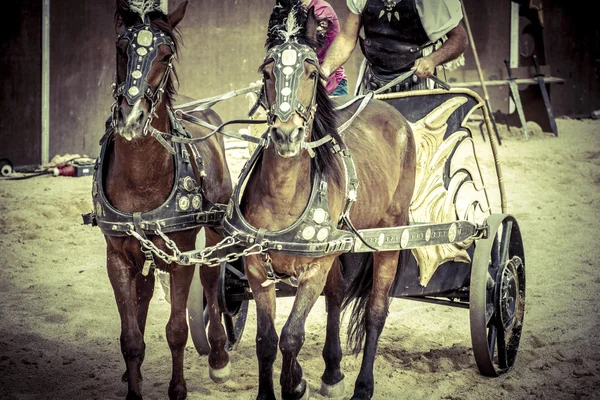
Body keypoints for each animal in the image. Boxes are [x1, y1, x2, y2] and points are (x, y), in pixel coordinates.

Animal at [98, 1, 232, 398]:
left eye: (166, 54)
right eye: (121, 48)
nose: (131, 117)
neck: (142, 174)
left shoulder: (181, 255)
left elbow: (176, 330)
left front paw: (178, 389)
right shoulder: (117, 256)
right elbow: (129, 337)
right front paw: (133, 384)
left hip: (215, 233)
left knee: (212, 281)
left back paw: (219, 356)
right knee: (143, 292)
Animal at [232, 1, 414, 398]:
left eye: (312, 73)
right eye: (267, 72)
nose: (286, 134)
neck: (282, 197)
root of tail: (394, 114)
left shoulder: (314, 268)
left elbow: (291, 336)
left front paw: (293, 383)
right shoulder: (257, 266)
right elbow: (266, 340)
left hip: (390, 233)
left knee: (376, 311)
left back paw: (363, 385)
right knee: (336, 296)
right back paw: (332, 372)